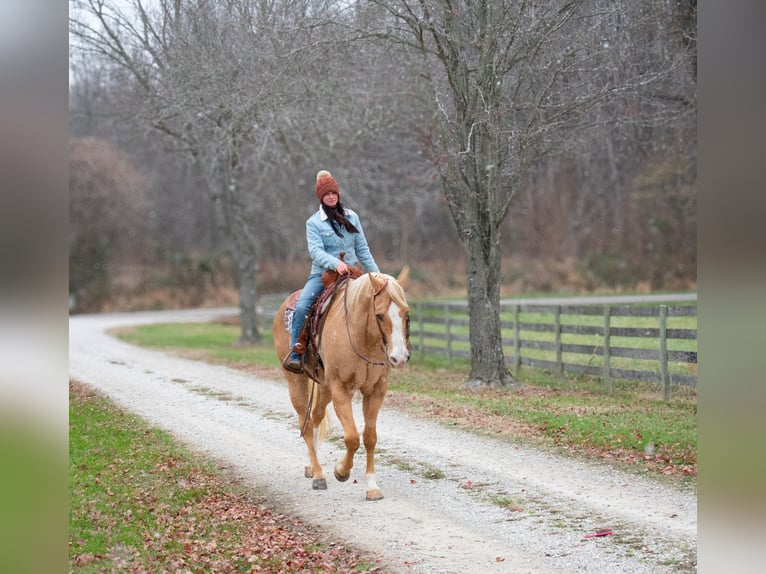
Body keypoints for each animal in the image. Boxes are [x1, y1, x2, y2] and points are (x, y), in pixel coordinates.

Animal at [272, 270, 412, 500]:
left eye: (405, 312)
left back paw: (312, 468)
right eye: (379, 315)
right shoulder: (340, 390)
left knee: (315, 418)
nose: (399, 358)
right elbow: (352, 438)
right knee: (305, 424)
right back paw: (319, 475)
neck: (362, 337)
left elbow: (370, 437)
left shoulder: (376, 391)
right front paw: (341, 471)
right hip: (296, 382)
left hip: (324, 387)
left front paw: (372, 487)